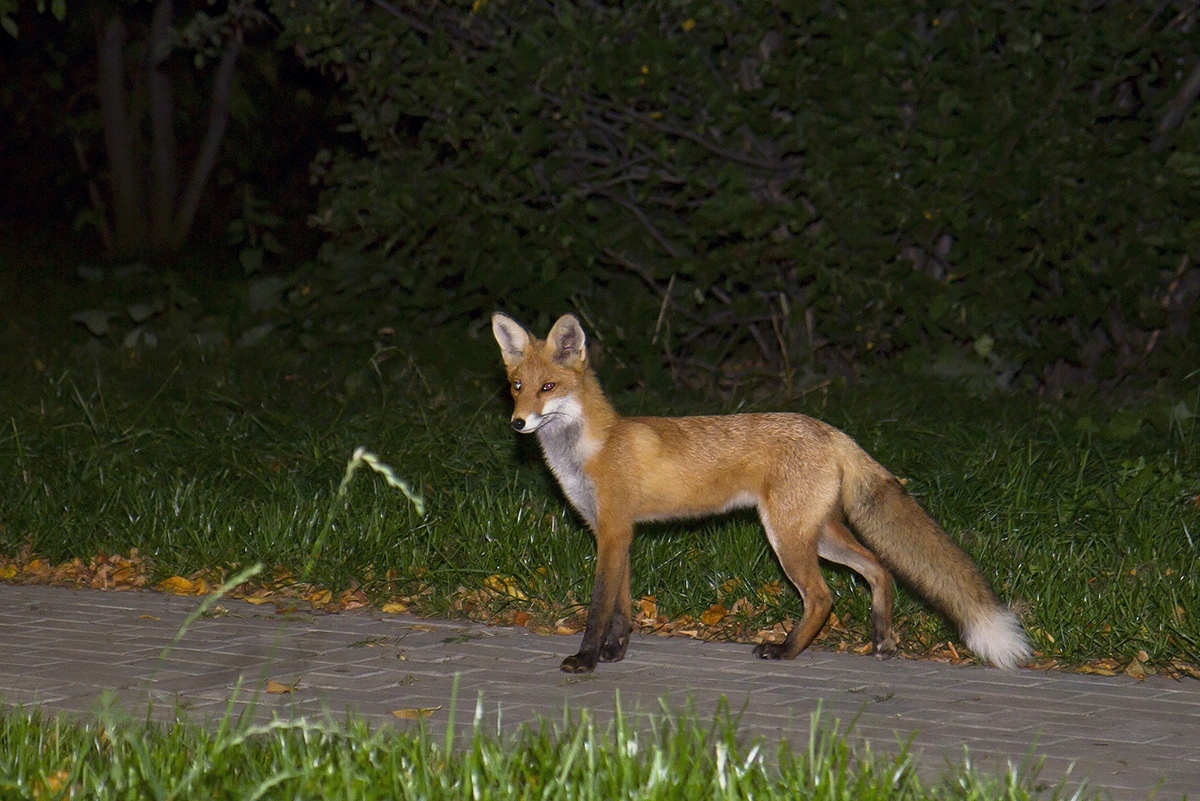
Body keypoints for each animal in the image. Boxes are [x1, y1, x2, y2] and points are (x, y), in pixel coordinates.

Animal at [487, 309, 1032, 671]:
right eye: (516, 386)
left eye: (548, 388)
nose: (517, 424)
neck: (591, 449)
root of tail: (830, 430)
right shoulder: (614, 533)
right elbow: (621, 606)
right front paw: (614, 653)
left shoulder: (615, 532)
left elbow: (600, 605)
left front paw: (585, 659)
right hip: (818, 533)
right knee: (878, 568)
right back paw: (881, 639)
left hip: (787, 537)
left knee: (823, 596)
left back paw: (786, 650)